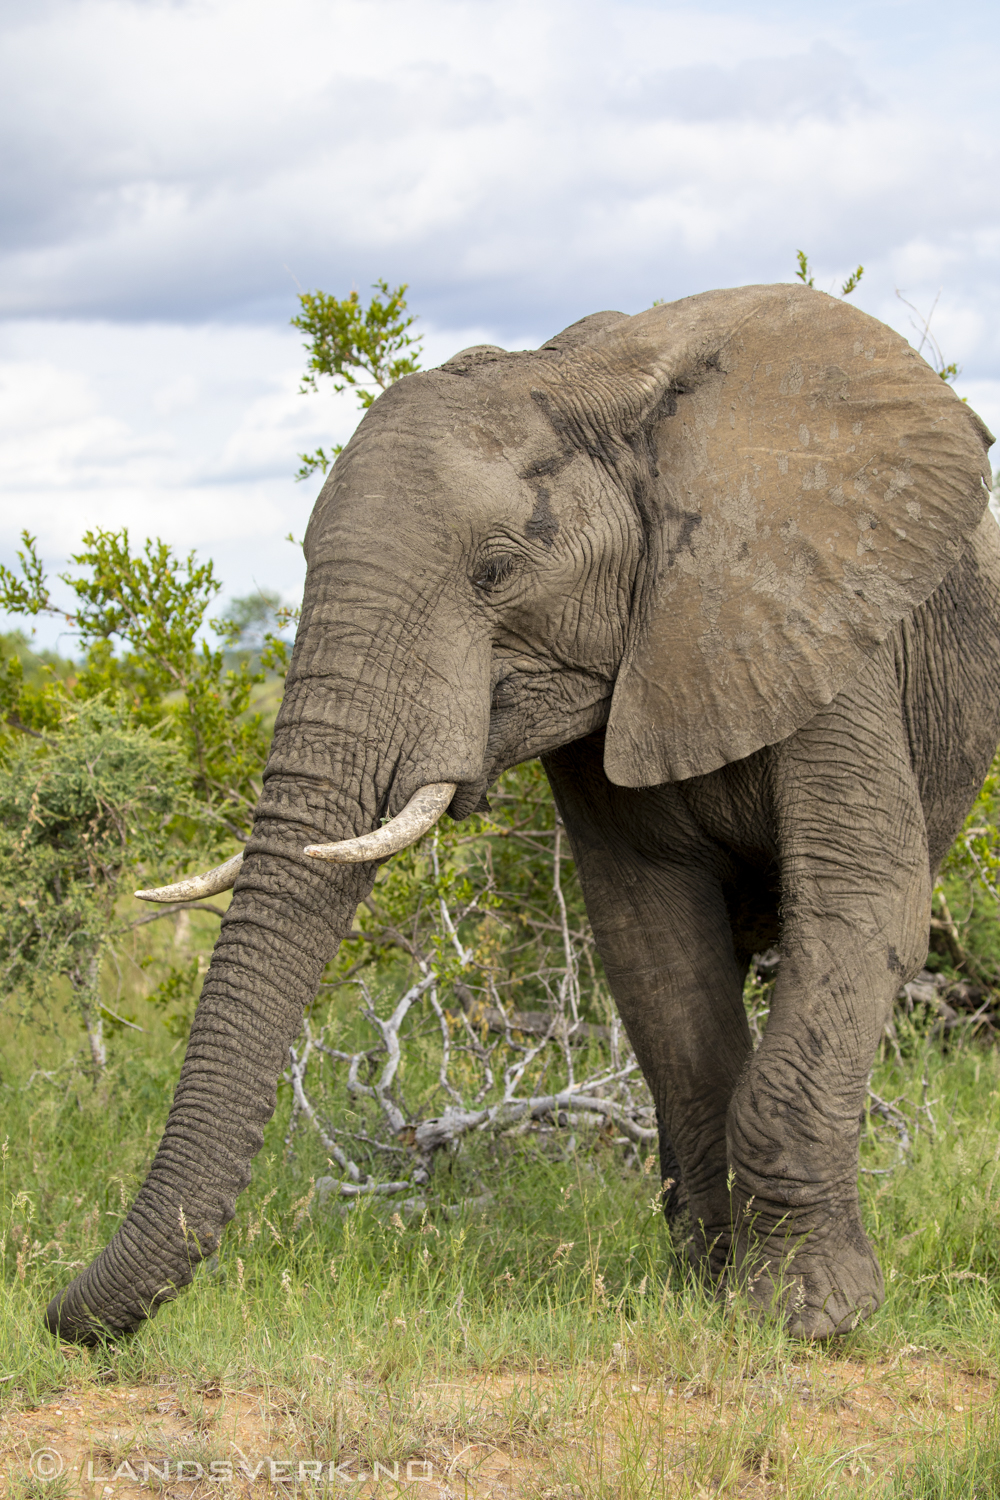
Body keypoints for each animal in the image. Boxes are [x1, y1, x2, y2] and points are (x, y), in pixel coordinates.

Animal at [46, 283, 1000, 1350]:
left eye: (497, 572)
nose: (50, 1315)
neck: (596, 390)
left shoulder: (821, 621)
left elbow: (860, 904)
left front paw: (810, 1318)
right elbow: (655, 945)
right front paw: (709, 1290)